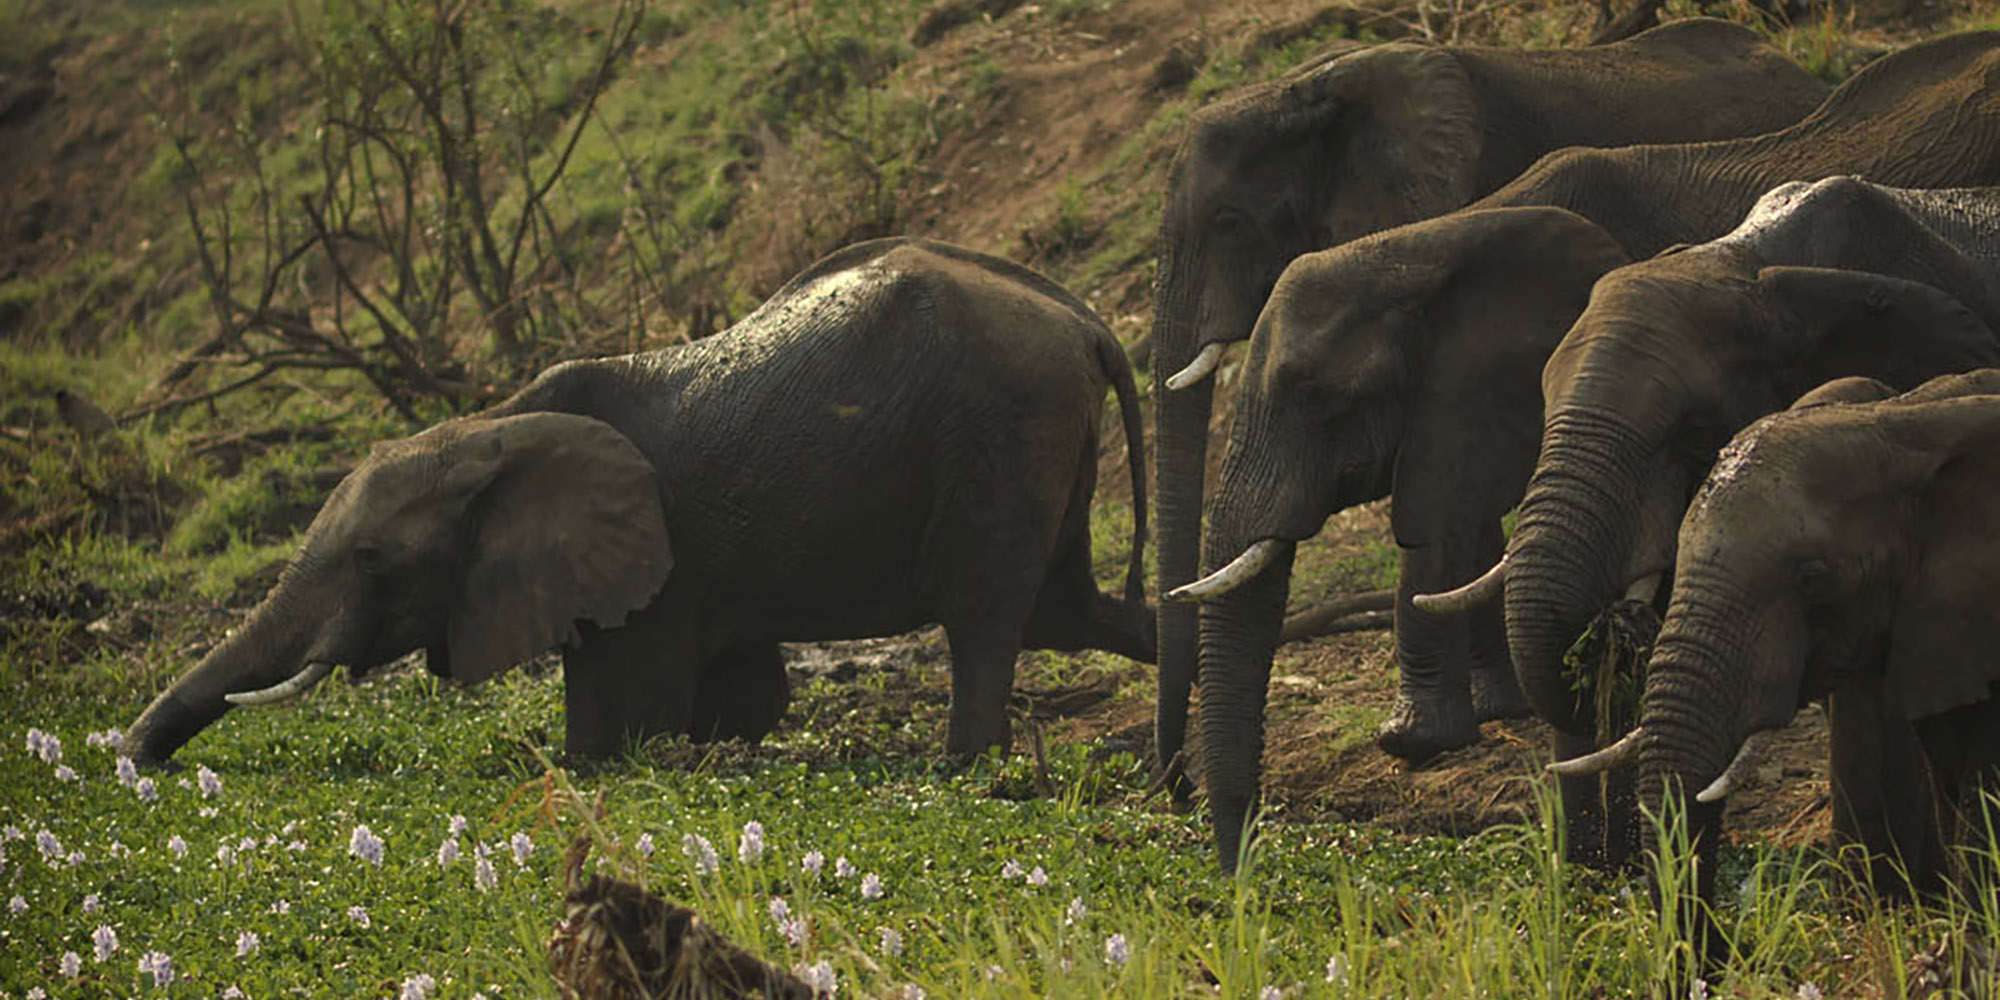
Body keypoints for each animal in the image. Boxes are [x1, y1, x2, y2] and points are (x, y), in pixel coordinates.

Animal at [120, 238, 1155, 767]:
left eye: (372, 560)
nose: (130, 763)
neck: (490, 427)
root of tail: (1088, 322)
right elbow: (735, 701)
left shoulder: (661, 567)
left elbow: (636, 720)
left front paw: (597, 767)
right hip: (1038, 444)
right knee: (1069, 613)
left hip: (1002, 436)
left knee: (987, 622)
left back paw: (964, 778)